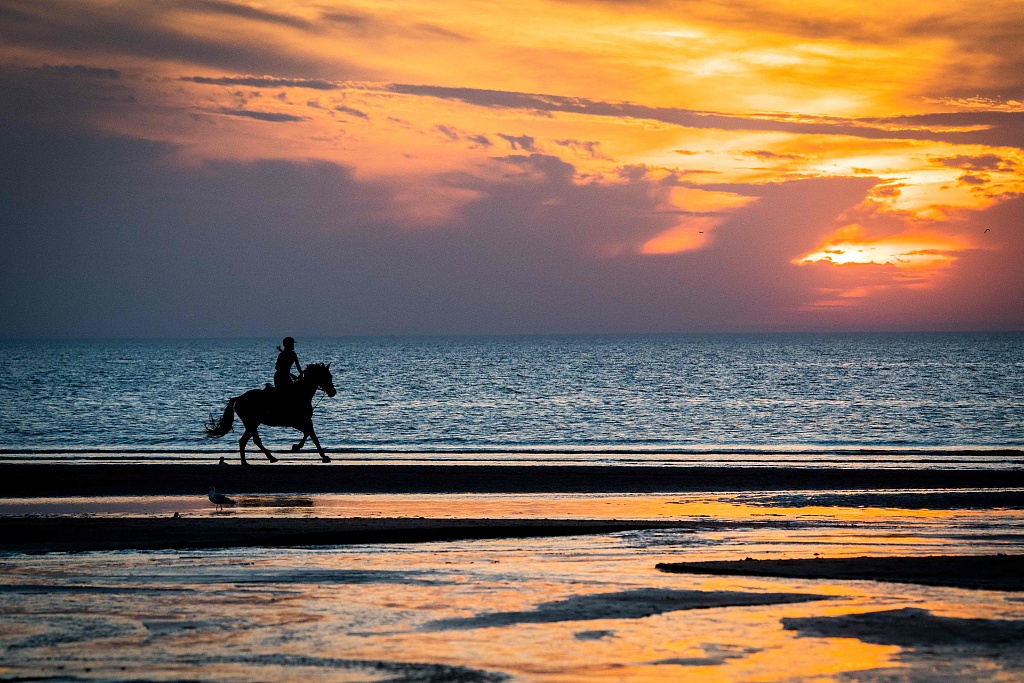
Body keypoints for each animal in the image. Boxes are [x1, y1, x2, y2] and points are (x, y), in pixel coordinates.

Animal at [205, 362, 337, 466]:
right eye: (326, 376)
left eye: (330, 376)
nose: (333, 392)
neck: (301, 393)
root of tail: (239, 398)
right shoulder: (298, 421)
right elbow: (311, 435)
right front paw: (320, 455)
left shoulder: (303, 421)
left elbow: (309, 434)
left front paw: (301, 448)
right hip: (252, 423)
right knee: (244, 441)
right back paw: (246, 462)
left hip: (252, 423)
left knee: (253, 440)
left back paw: (270, 458)